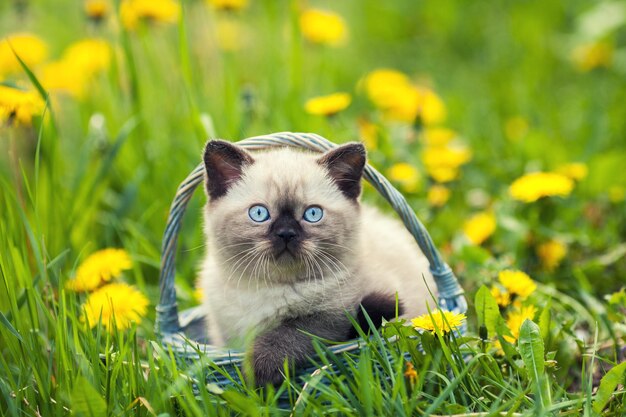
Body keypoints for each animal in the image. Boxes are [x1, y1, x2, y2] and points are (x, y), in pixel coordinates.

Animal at [200, 140, 434, 384]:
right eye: (259, 213)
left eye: (313, 214)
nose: (286, 233)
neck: (270, 289)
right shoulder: (225, 335)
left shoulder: (332, 317)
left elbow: (288, 334)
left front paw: (257, 373)